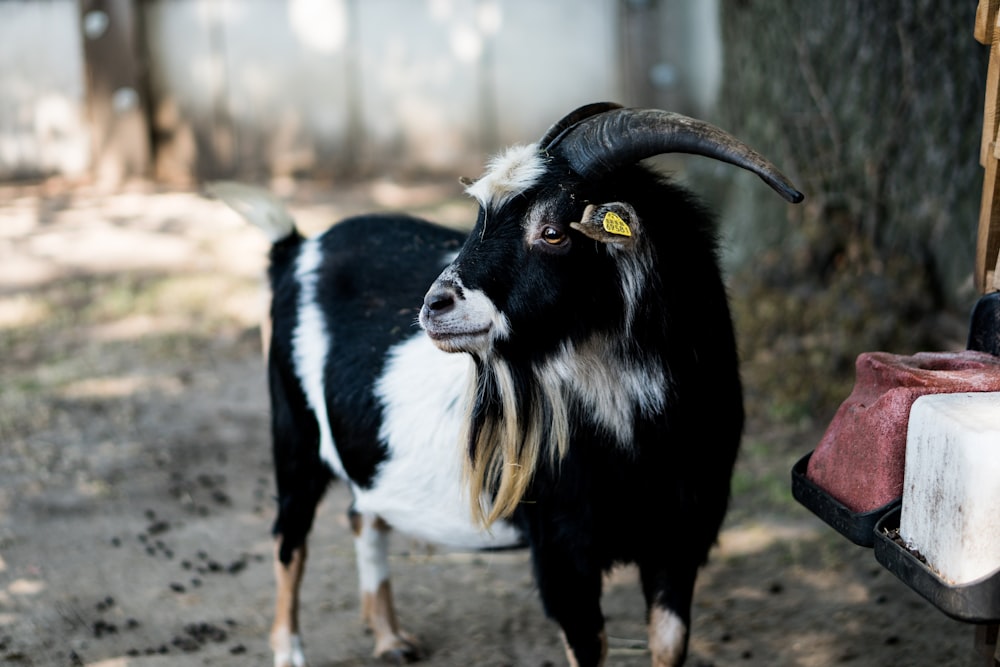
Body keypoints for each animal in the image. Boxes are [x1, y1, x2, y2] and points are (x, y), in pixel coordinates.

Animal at [209, 100, 796, 667]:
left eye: (553, 230)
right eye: (480, 219)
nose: (434, 306)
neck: (635, 441)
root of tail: (297, 250)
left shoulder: (680, 538)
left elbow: (669, 646)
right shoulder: (562, 550)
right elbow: (590, 647)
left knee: (363, 514)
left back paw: (390, 639)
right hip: (293, 431)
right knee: (289, 536)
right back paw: (290, 651)